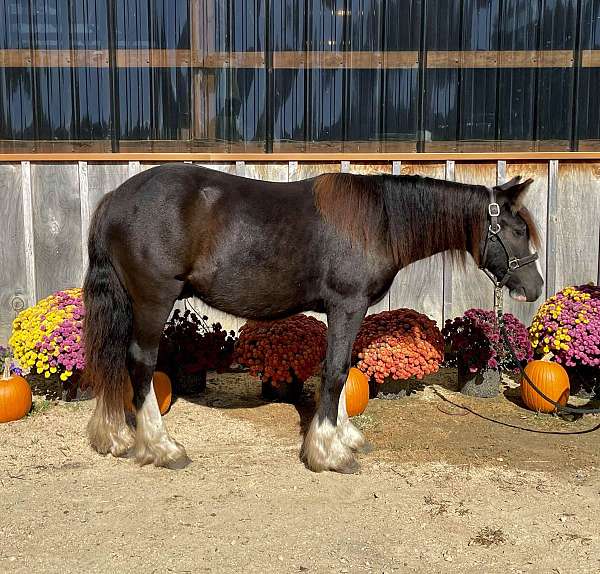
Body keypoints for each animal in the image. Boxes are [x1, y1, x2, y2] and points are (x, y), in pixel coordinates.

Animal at [83, 164, 544, 474]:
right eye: (517, 229)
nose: (534, 287)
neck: (377, 222)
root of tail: (115, 199)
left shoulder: (346, 310)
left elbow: (341, 369)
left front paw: (346, 436)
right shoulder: (347, 305)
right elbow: (336, 371)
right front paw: (329, 452)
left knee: (114, 357)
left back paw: (117, 436)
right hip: (152, 300)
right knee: (141, 363)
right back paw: (162, 447)